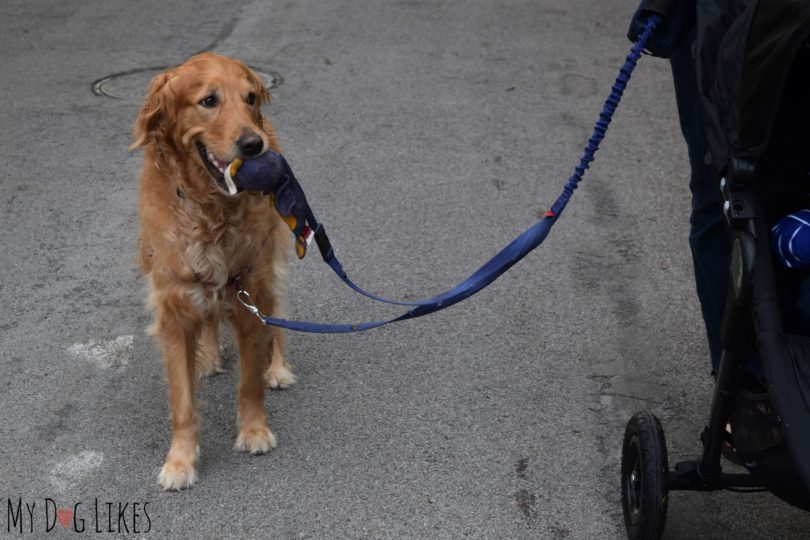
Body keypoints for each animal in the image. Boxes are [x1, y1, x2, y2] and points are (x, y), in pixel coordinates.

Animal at [131, 53, 296, 490]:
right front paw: (180, 461)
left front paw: (254, 431)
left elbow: (249, 381)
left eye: (250, 97)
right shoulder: (174, 307)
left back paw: (278, 368)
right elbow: (182, 402)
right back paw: (205, 358)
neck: (211, 209)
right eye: (208, 100)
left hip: (270, 262)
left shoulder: (251, 293)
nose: (254, 144)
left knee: (278, 318)